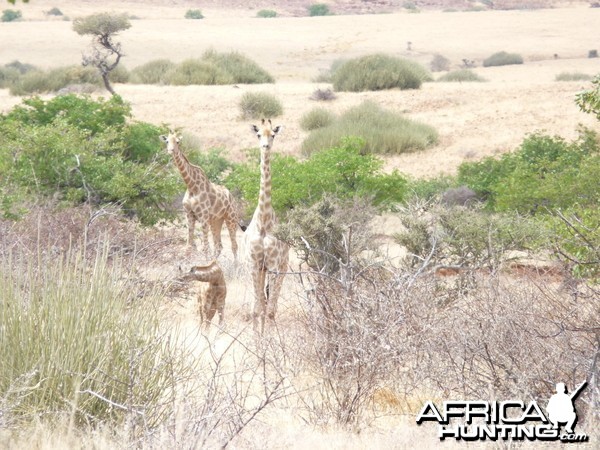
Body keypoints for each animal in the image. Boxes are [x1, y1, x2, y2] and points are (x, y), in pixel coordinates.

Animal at [162, 132, 241, 260]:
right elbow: (189, 247)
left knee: (234, 246)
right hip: (216, 220)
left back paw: (234, 265)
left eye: (178, 142)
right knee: (218, 246)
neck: (191, 186)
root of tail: (232, 197)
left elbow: (205, 247)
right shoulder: (189, 215)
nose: (171, 150)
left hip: (231, 218)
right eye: (167, 141)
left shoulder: (203, 216)